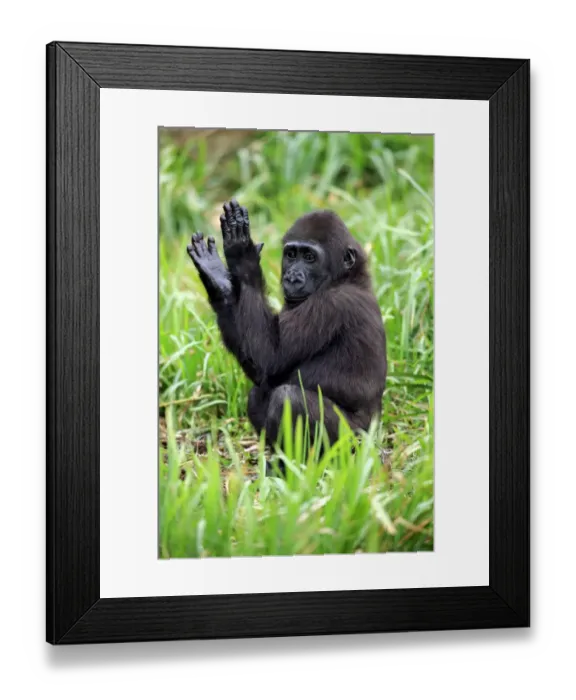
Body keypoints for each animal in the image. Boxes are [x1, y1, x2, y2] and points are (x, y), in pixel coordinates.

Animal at [187, 199, 387, 470]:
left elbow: (270, 356)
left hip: (354, 444)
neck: (348, 278)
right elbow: (262, 370)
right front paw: (219, 280)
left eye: (310, 257)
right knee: (258, 394)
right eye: (291, 255)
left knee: (289, 399)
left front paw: (242, 258)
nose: (292, 277)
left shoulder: (332, 305)